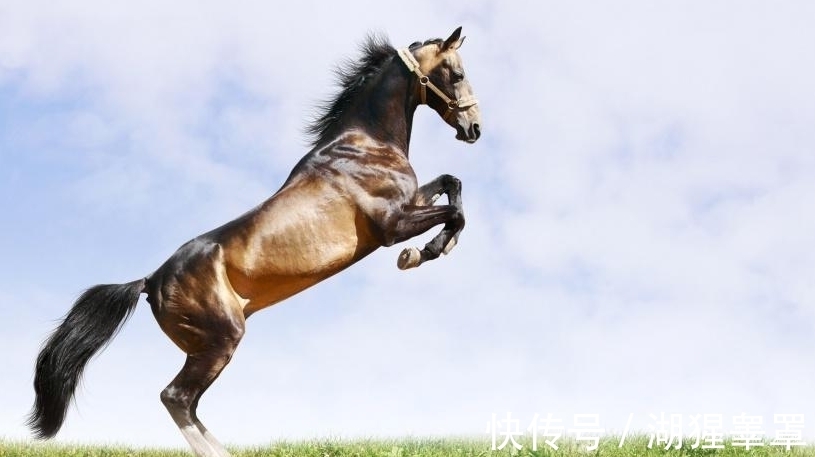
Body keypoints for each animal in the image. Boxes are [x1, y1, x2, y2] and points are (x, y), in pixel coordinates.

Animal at [28, 26, 482, 454]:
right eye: (457, 73)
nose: (474, 127)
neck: (365, 143)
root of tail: (150, 281)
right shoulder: (392, 225)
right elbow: (455, 213)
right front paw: (421, 253)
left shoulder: (411, 201)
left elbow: (452, 183)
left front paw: (432, 247)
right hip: (221, 340)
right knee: (175, 397)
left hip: (204, 347)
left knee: (189, 403)